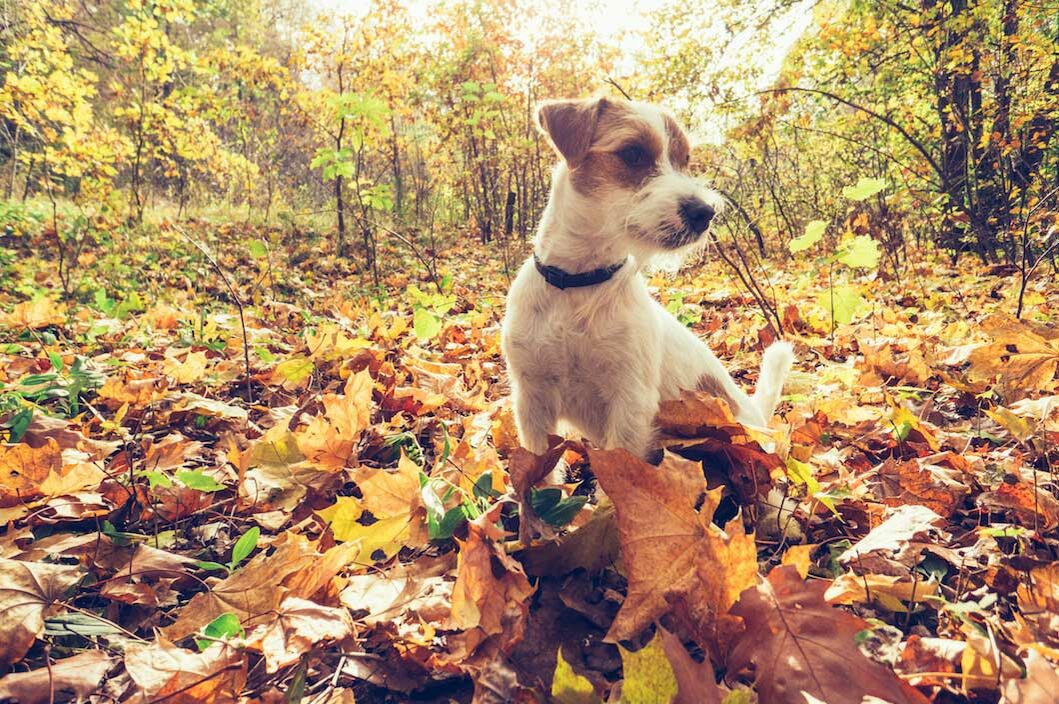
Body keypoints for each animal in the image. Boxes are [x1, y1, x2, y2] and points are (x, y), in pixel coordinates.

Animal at [499, 96, 792, 459]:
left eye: (684, 160)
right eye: (633, 153)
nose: (705, 213)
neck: (580, 283)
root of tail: (759, 421)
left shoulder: (630, 400)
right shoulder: (532, 397)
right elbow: (538, 466)